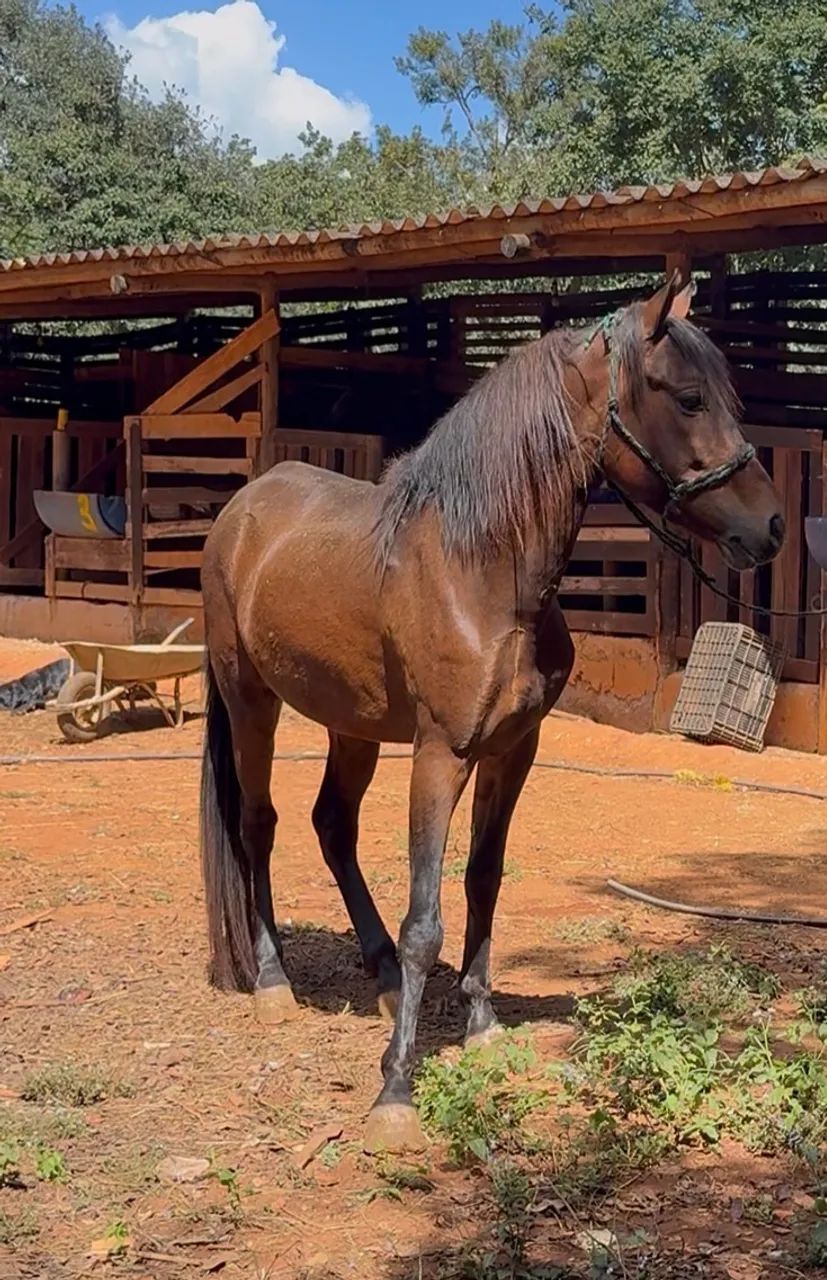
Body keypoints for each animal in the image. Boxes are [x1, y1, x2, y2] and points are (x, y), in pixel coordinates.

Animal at [199, 275, 784, 1153]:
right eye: (687, 397)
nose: (771, 526)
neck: (479, 569)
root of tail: (240, 511)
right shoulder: (440, 753)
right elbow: (426, 919)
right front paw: (395, 1092)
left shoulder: (514, 750)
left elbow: (481, 880)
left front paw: (478, 1022)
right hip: (251, 702)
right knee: (257, 825)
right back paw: (272, 981)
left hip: (351, 724)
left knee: (331, 824)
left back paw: (378, 974)